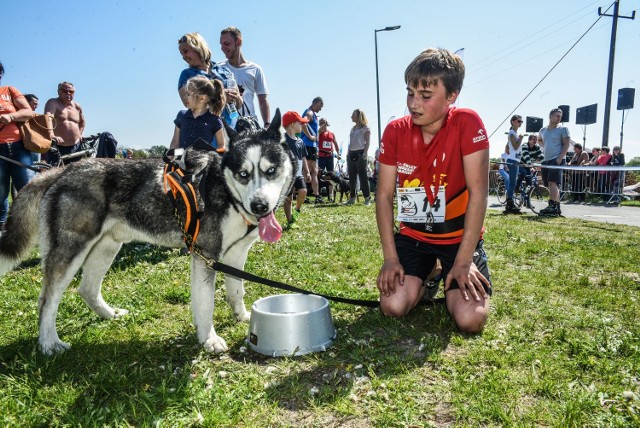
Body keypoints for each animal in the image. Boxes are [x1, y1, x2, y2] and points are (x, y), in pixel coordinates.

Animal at [0, 109, 296, 354]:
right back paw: (49, 343)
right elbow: (205, 304)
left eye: (271, 170)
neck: (225, 187)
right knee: (47, 301)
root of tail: (61, 171)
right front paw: (209, 339)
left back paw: (109, 315)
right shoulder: (206, 256)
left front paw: (243, 317)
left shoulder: (235, 255)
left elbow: (236, 291)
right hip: (71, 250)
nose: (259, 206)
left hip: (106, 247)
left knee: (87, 289)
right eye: (243, 174)